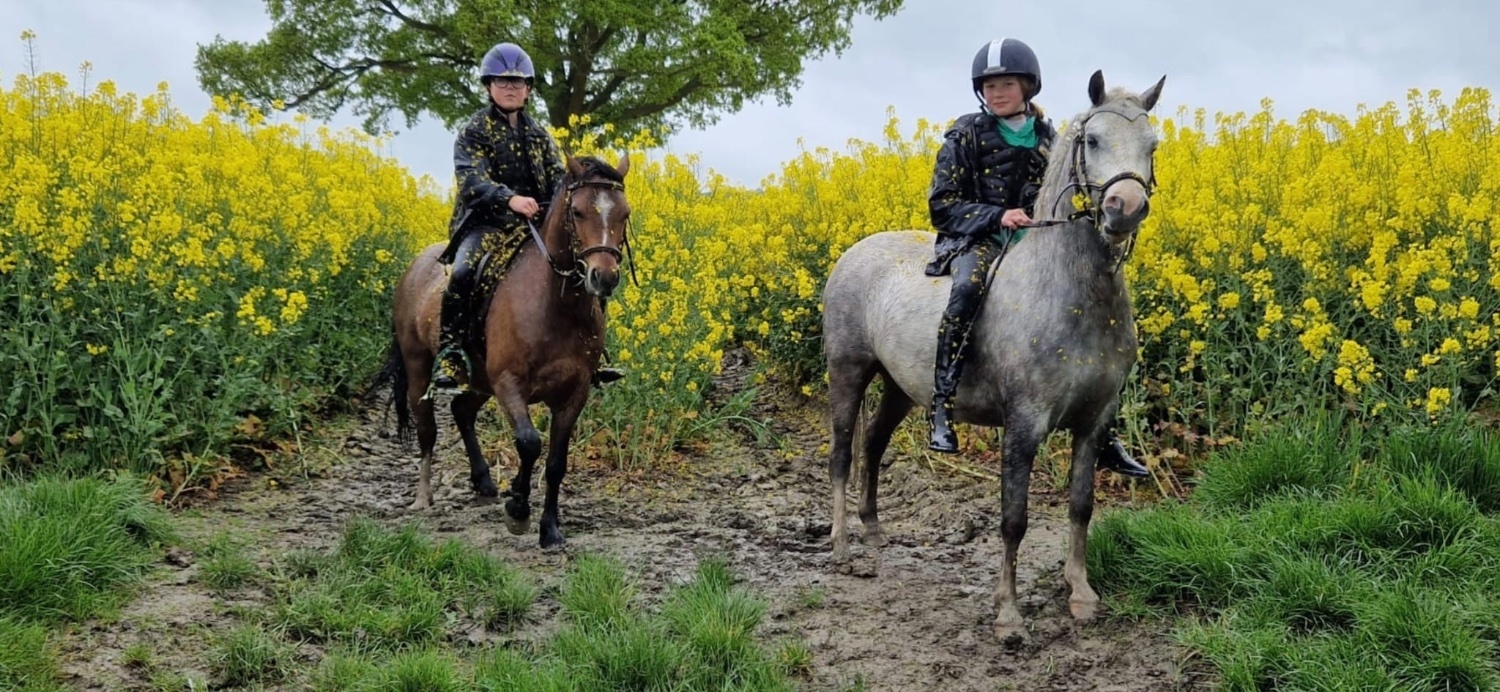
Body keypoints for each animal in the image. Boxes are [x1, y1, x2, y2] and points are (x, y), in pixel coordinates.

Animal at [373, 154, 631, 549]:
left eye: (624, 213)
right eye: (578, 211)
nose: (604, 277)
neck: (555, 305)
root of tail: (414, 267)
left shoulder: (574, 393)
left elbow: (556, 462)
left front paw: (550, 529)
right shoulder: (509, 383)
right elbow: (528, 442)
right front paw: (518, 510)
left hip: (481, 379)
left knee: (461, 411)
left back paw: (483, 483)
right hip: (420, 368)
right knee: (427, 428)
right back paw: (422, 496)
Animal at [819, 70, 1165, 643]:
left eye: (1152, 145)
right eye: (1092, 141)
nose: (1125, 208)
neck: (1073, 295)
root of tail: (853, 253)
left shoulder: (1094, 422)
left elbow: (1081, 506)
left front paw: (1081, 594)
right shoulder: (1024, 423)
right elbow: (1014, 519)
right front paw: (1008, 615)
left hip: (901, 386)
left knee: (874, 444)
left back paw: (873, 535)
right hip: (848, 372)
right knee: (844, 452)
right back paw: (843, 547)